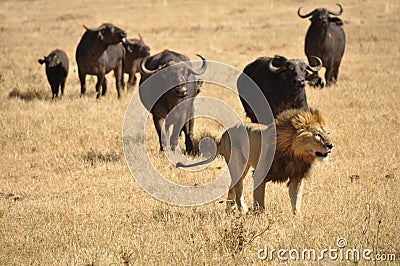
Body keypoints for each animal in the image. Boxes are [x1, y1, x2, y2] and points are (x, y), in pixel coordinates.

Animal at [177, 108, 332, 214]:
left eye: (327, 133)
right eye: (317, 135)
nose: (331, 145)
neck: (295, 154)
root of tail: (223, 135)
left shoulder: (297, 177)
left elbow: (296, 200)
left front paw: (297, 218)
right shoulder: (260, 174)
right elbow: (259, 200)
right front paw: (260, 217)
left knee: (232, 187)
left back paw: (229, 211)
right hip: (238, 164)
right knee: (238, 190)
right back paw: (243, 210)